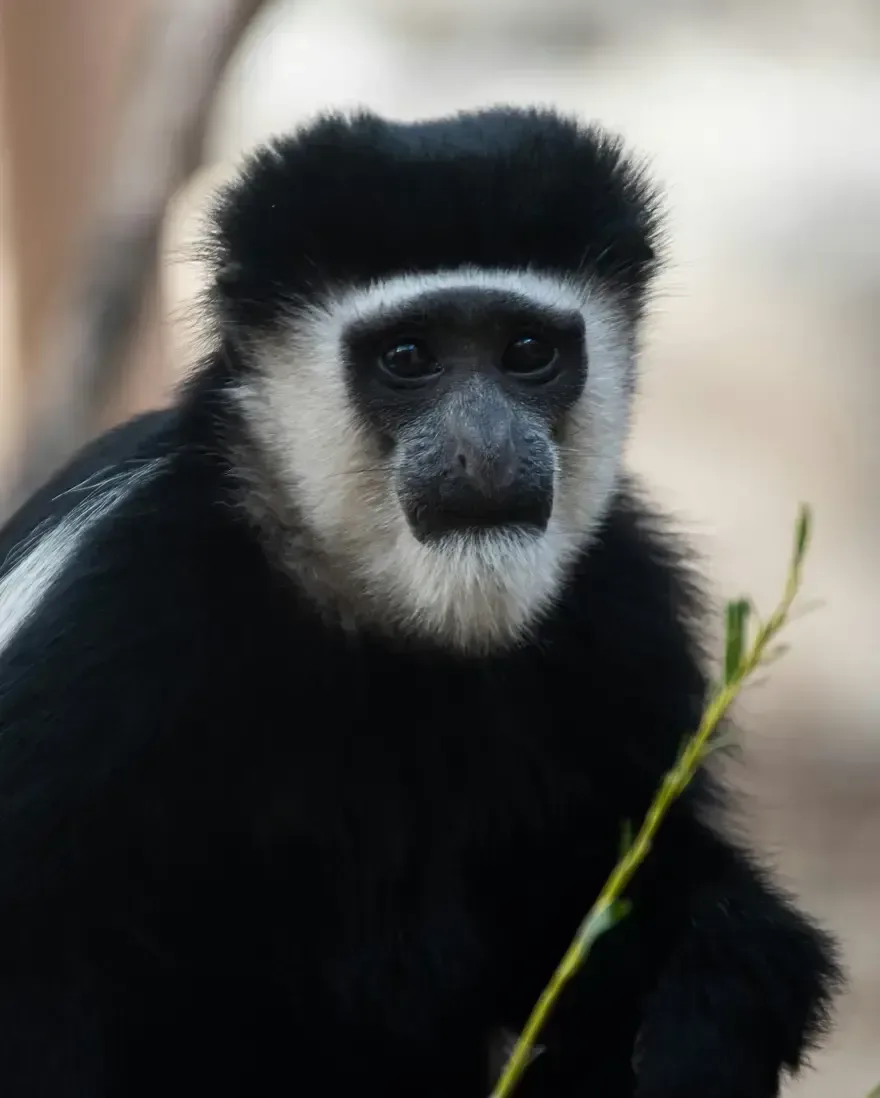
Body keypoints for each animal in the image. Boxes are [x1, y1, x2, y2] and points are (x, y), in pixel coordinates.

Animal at [0, 106, 841, 1097]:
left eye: (527, 353)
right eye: (409, 357)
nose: (485, 445)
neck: (388, 614)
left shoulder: (624, 612)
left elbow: (651, 878)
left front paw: (712, 1004)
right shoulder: (115, 611)